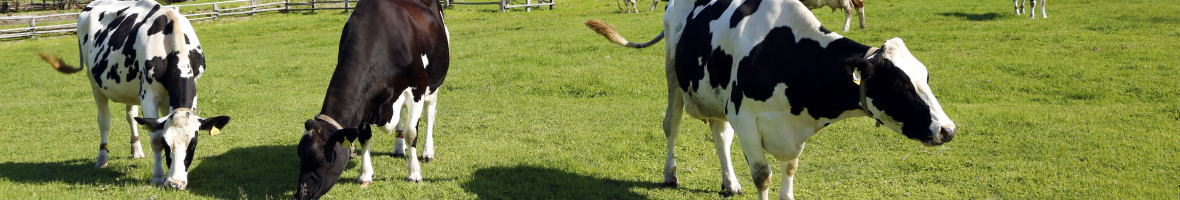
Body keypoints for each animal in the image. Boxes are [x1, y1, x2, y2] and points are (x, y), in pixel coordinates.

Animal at [38, 0, 231, 189]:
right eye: (166, 144)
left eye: (193, 144)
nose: (175, 184)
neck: (170, 43)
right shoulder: (148, 95)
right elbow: (155, 136)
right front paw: (158, 177)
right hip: (94, 82)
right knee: (104, 121)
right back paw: (102, 158)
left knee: (131, 116)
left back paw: (137, 150)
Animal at [295, 0, 450, 198]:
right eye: (300, 155)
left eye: (319, 159)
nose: (301, 194)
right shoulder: (364, 104)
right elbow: (364, 137)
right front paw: (365, 175)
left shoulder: (417, 89)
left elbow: (411, 133)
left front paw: (414, 173)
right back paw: (399, 148)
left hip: (434, 85)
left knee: (429, 116)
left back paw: (427, 152)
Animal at [585, 0, 953, 198]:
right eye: (900, 85)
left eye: (926, 77)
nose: (947, 130)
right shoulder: (746, 118)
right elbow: (763, 174)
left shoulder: (788, 129)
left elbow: (789, 167)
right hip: (675, 78)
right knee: (671, 126)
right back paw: (670, 174)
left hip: (716, 94)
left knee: (720, 136)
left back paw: (729, 183)